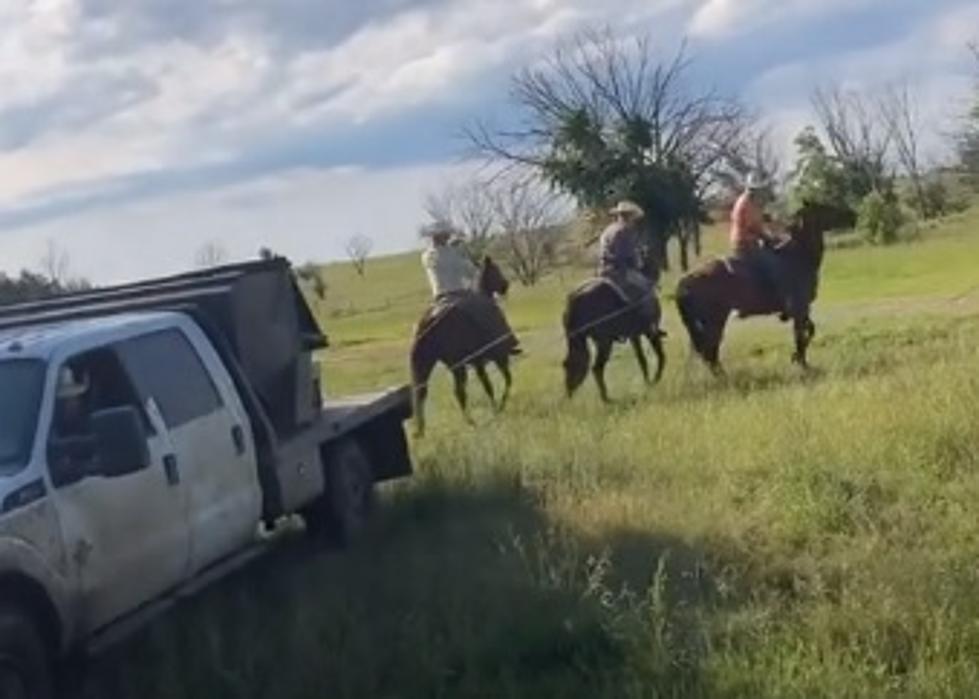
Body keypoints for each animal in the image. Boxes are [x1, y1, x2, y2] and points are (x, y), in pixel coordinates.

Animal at [410, 254, 516, 434]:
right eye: (495, 269)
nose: (505, 285)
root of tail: (432, 317)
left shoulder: (475, 363)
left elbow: (488, 385)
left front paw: (496, 409)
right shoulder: (492, 358)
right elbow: (502, 381)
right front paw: (498, 408)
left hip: (431, 365)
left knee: (422, 392)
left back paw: (423, 431)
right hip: (460, 365)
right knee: (460, 391)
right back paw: (473, 421)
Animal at [560, 262, 668, 404]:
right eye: (565, 365)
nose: (569, 391)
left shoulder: (632, 335)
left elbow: (644, 358)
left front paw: (649, 382)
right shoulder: (640, 332)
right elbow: (653, 356)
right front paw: (652, 381)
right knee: (598, 367)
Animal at [672, 200, 856, 374]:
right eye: (825, 207)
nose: (852, 215)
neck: (798, 256)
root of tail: (685, 281)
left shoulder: (802, 310)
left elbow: (808, 331)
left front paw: (797, 359)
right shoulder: (799, 308)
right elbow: (802, 335)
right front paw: (801, 363)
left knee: (707, 352)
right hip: (715, 321)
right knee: (710, 351)